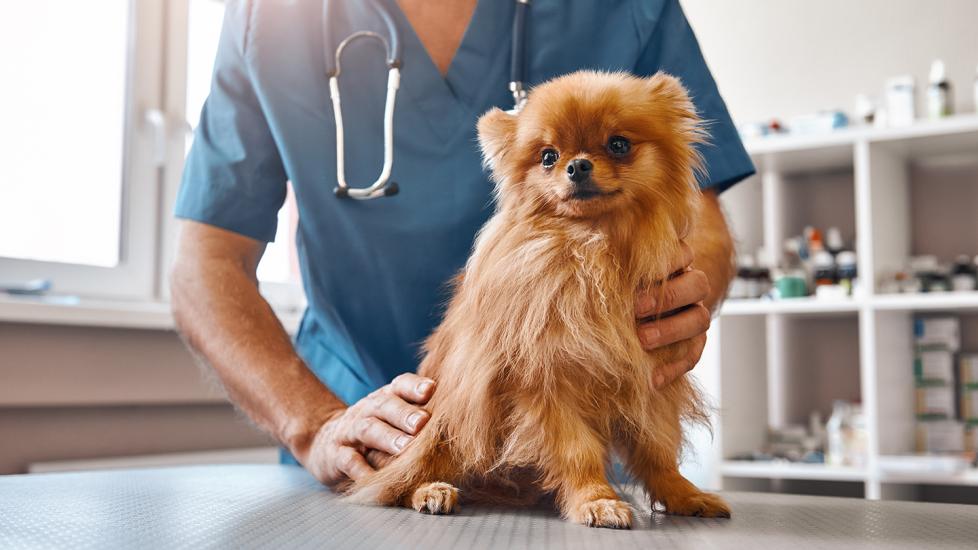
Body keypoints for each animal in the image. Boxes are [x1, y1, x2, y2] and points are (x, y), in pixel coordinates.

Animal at [346, 70, 728, 532]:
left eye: (619, 144)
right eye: (548, 157)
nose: (577, 165)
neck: (593, 248)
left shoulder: (651, 382)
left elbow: (657, 450)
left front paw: (682, 493)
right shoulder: (544, 385)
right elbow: (577, 452)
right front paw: (596, 500)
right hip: (443, 420)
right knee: (399, 481)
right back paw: (431, 491)